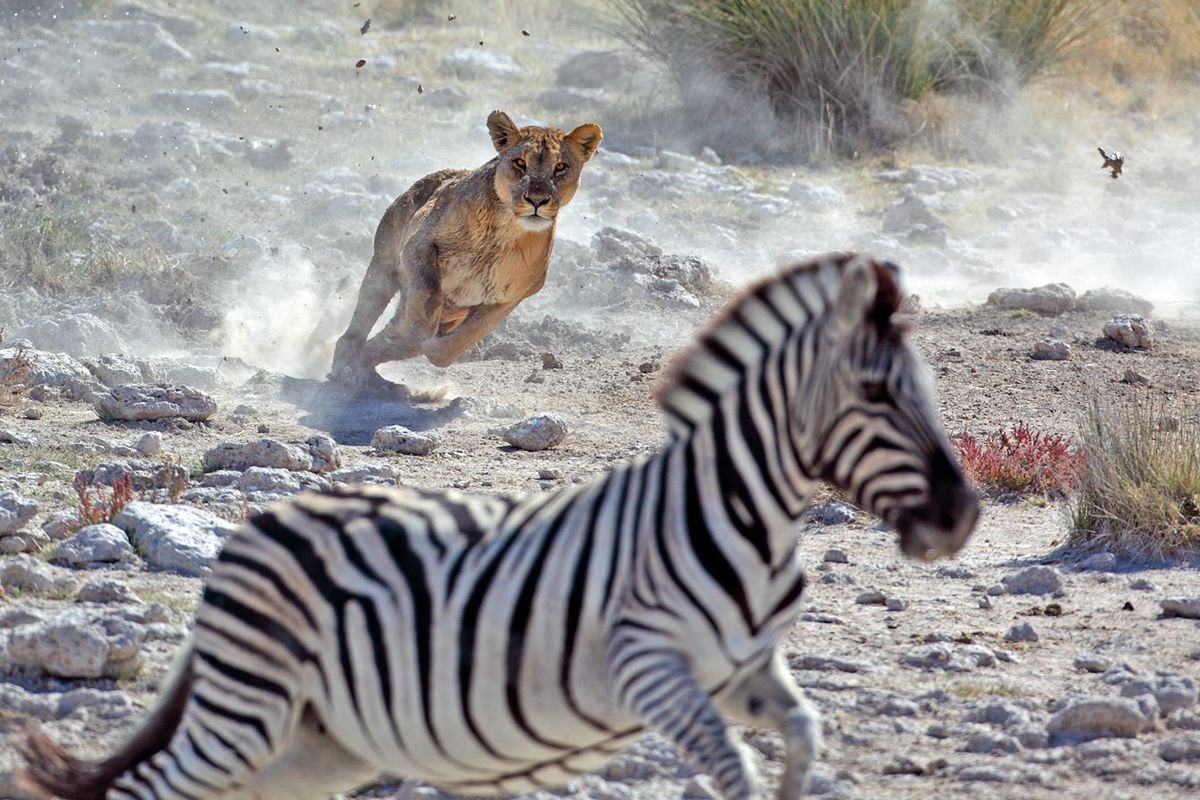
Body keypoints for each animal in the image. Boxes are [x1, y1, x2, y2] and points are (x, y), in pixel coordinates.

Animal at [23, 255, 979, 800]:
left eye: (927, 388)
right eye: (875, 394)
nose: (962, 515)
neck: (737, 517)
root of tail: (262, 526)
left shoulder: (744, 671)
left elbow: (805, 733)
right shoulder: (647, 668)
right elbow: (734, 770)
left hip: (319, 741)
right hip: (248, 712)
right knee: (151, 789)